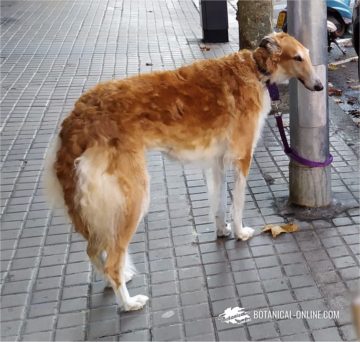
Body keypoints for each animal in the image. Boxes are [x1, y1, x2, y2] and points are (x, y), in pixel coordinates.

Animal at [44, 32, 324, 312]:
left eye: (308, 56)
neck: (257, 69)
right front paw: (240, 232)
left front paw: (222, 231)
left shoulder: (217, 162)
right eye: (297, 58)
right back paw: (129, 302)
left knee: (93, 250)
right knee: (111, 260)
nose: (320, 86)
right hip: (133, 198)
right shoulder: (242, 158)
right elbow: (238, 204)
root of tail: (77, 119)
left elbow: (219, 205)